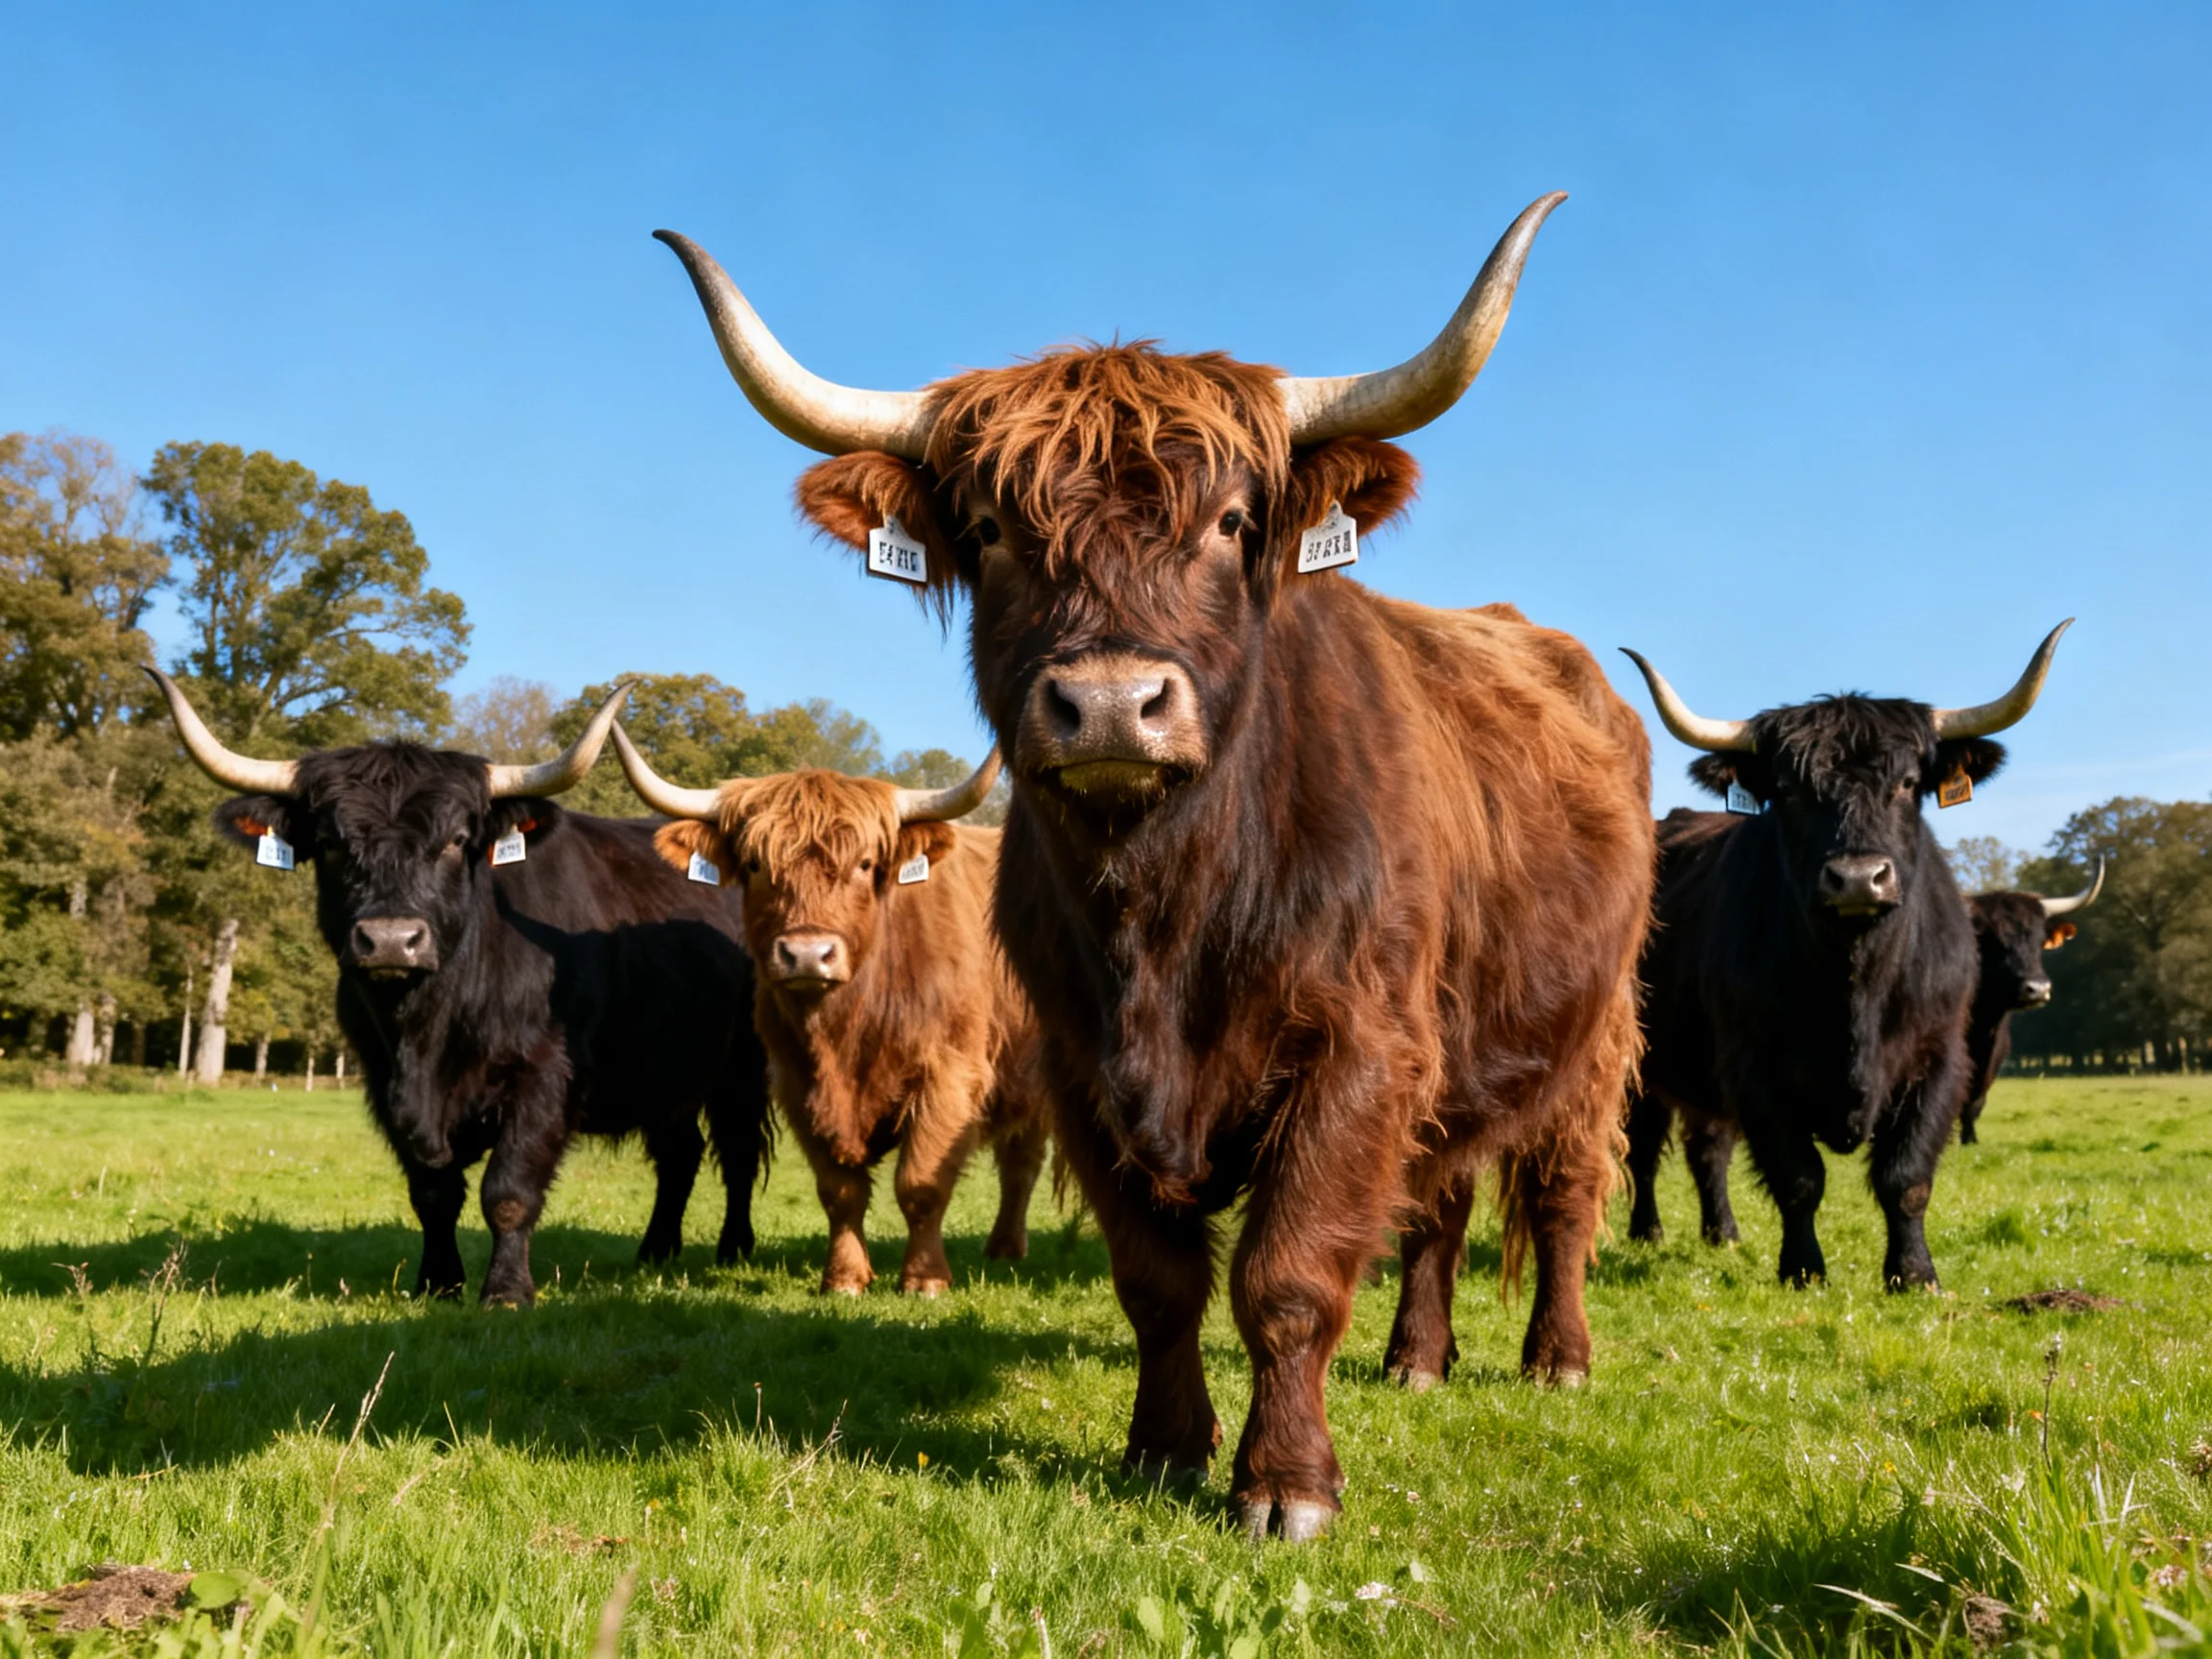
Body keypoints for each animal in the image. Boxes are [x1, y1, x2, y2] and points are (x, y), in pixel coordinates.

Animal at [147, 669, 774, 1306]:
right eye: (328, 842)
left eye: (455, 839)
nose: (391, 939)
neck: (430, 1027)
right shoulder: (386, 1084)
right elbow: (434, 1194)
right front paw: (438, 1282)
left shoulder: (544, 1077)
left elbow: (509, 1191)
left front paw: (506, 1291)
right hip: (672, 1075)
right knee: (680, 1154)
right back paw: (655, 1251)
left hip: (743, 1068)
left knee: (738, 1152)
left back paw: (733, 1249)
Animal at [608, 727, 1051, 1295]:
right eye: (755, 865)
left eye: (864, 864)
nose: (806, 953)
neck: (852, 1026)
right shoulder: (797, 1084)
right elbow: (839, 1191)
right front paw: (844, 1277)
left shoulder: (950, 1076)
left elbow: (920, 1184)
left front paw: (924, 1280)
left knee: (1022, 1161)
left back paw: (1005, 1248)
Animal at [653, 191, 1656, 1539]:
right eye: (990, 531)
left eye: (1231, 524)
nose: (1112, 706)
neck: (1167, 916)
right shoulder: (1083, 1066)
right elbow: (1158, 1279)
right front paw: (1167, 1447)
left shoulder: (1360, 1049)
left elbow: (1287, 1275)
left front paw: (1285, 1487)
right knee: (1436, 1203)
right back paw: (1416, 1358)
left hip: (1590, 1035)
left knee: (1559, 1194)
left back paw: (1556, 1357)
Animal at [1617, 626, 2070, 1289]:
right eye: (1787, 790)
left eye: (1907, 784)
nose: (1858, 879)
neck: (1854, 984)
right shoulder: (1756, 1068)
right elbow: (1799, 1178)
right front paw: (1803, 1270)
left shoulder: (1940, 1061)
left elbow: (1906, 1178)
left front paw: (1914, 1274)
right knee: (1644, 1150)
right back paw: (1646, 1232)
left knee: (1708, 1150)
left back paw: (1722, 1233)